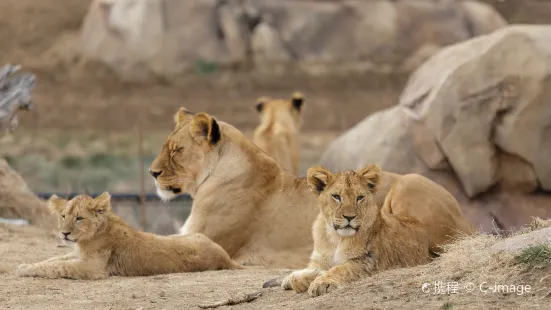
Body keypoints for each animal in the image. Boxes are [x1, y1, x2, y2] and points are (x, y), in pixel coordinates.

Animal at [15, 193, 242, 280]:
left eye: (79, 218)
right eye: (63, 216)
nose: (64, 233)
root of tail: (226, 258)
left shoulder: (91, 267)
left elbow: (58, 266)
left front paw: (24, 268)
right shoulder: (79, 255)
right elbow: (55, 258)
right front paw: (26, 264)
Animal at [150, 108, 474, 270]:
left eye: (177, 150)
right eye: (167, 146)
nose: (152, 173)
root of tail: (466, 220)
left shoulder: (208, 236)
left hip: (409, 182)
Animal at [284, 166, 432, 296]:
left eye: (359, 197)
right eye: (336, 197)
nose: (349, 217)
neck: (336, 238)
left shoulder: (366, 261)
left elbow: (339, 269)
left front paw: (321, 283)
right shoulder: (321, 260)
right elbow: (302, 275)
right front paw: (296, 279)